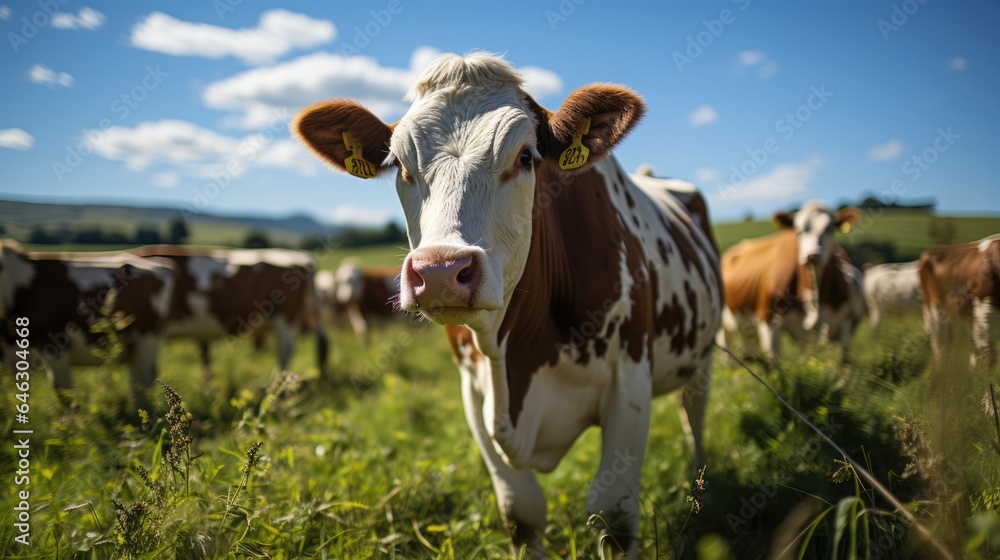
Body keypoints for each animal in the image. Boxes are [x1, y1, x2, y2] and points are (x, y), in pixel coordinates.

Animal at [0, 240, 173, 406]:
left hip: (148, 339)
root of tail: (159, 267)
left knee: (144, 380)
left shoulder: (54, 346)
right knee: (137, 383)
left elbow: (65, 395)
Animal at [292, 52, 724, 560]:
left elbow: (612, 514)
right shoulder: (473, 391)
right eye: (399, 165)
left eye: (525, 157)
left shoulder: (630, 379)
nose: (441, 271)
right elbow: (522, 513)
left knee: (695, 415)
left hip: (704, 353)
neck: (514, 357)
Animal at [716, 203, 864, 360]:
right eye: (798, 230)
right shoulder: (769, 320)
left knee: (750, 342)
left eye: (830, 228)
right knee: (726, 345)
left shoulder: (845, 324)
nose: (812, 255)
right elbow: (773, 362)